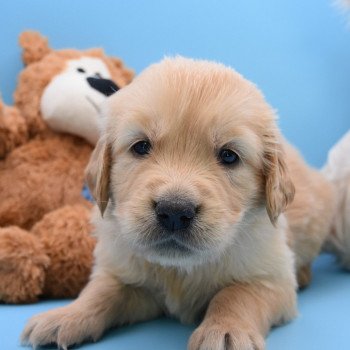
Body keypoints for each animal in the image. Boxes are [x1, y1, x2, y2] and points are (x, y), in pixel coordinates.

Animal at [21, 57, 334, 350]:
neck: (180, 269)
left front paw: (225, 331)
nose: (174, 211)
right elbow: (101, 291)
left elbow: (235, 295)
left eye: (229, 156)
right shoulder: (127, 275)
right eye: (141, 146)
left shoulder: (271, 277)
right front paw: (66, 316)